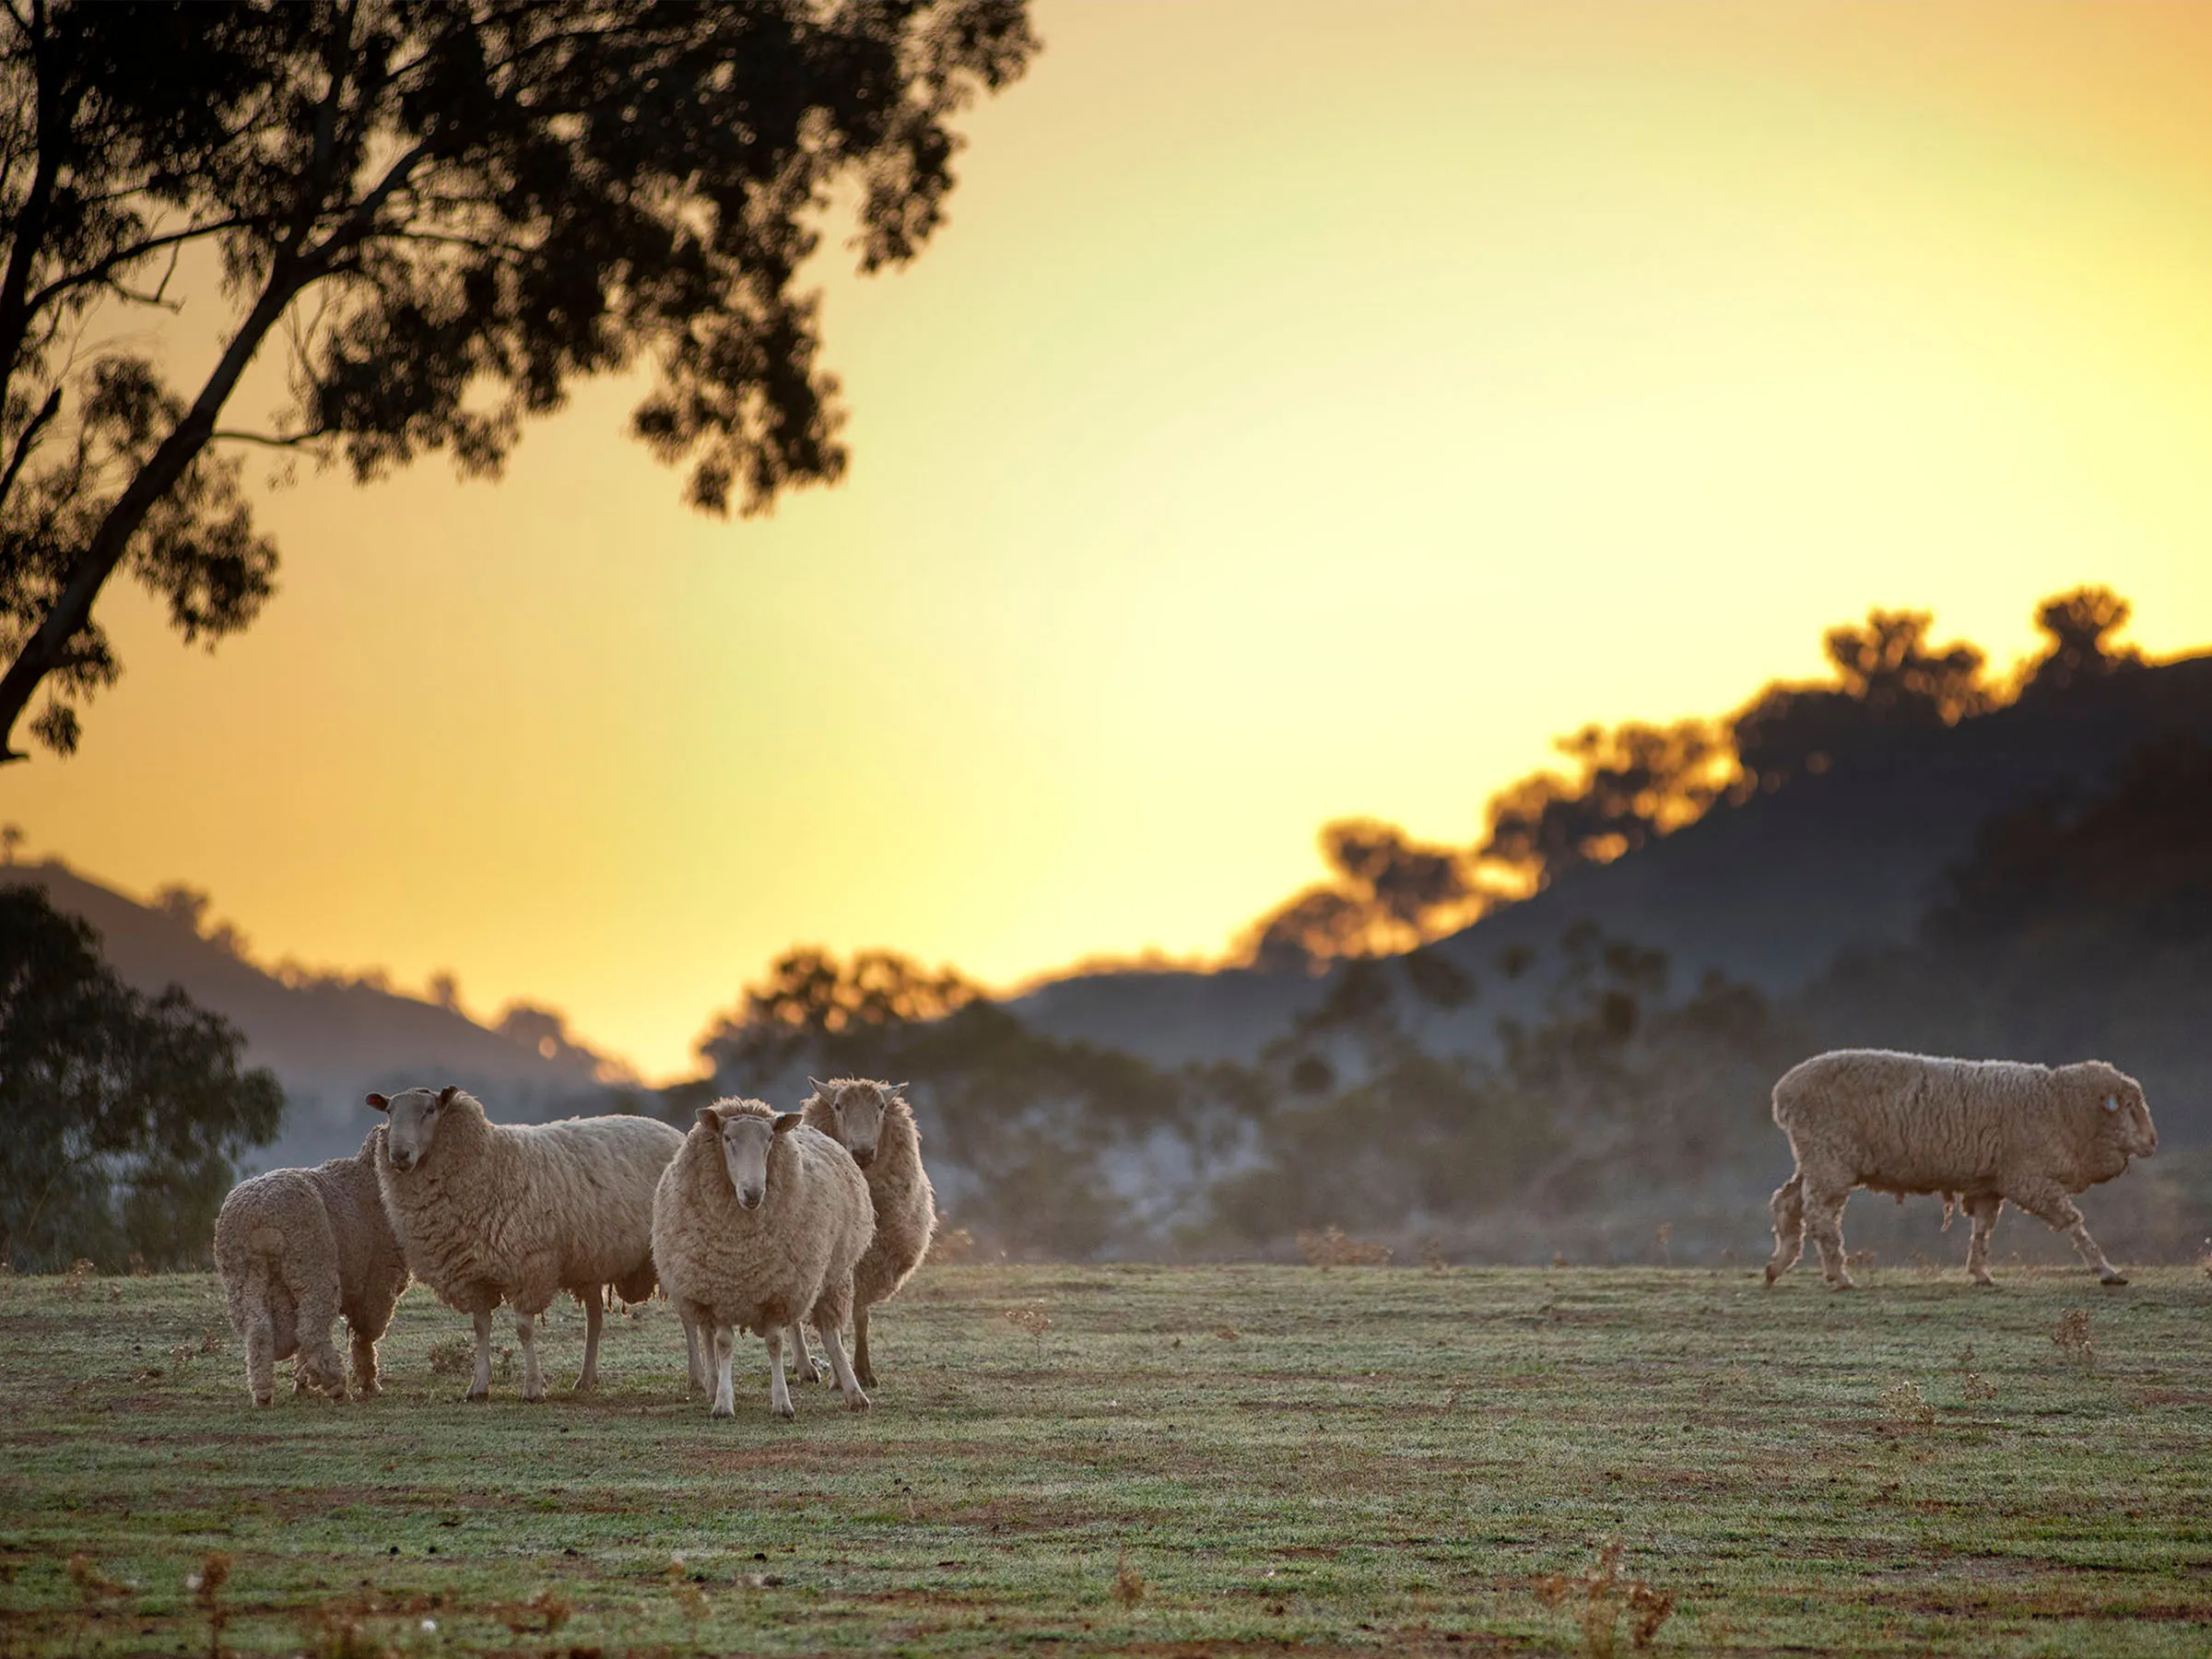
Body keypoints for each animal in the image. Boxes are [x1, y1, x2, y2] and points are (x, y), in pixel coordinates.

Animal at [214, 1124, 411, 1406]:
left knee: (259, 1329)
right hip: (312, 1267)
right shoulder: (380, 1281)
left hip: (243, 1274)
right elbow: (364, 1337)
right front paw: (368, 1384)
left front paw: (303, 1381)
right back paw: (337, 1387)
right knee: (311, 1330)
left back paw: (263, 1395)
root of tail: (261, 1217)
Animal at [371, 1092, 681, 1406]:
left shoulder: (528, 1268)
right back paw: (585, 1379)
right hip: (590, 1262)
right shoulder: (472, 1274)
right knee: (594, 1318)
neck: (491, 1161)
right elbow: (480, 1327)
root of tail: (667, 1129)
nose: (399, 1155)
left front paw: (533, 1388)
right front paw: (478, 1386)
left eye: (430, 1110)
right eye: (389, 1112)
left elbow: (524, 1329)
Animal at [645, 1097, 871, 1424]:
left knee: (831, 1334)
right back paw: (712, 1384)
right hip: (700, 1286)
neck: (743, 1251)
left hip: (827, 1277)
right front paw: (723, 1403)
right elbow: (723, 1344)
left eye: (769, 1139)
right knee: (706, 1335)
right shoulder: (720, 1289)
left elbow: (776, 1342)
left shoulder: (779, 1292)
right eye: (727, 1138)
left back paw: (852, 1392)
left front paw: (782, 1402)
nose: (753, 1193)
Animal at [792, 1079, 937, 1389]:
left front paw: (864, 1370)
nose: (862, 1152)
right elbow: (835, 1324)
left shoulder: (869, 1266)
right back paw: (805, 1366)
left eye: (881, 1107)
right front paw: (839, 1375)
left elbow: (861, 1319)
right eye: (837, 1107)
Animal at [1760, 1053, 2159, 1300]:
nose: (2153, 1142)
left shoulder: (1990, 1184)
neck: (2059, 1105)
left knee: (1787, 1202)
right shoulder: (2028, 1178)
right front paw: (2106, 1270)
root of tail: (1783, 1092)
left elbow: (1982, 1229)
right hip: (1829, 1157)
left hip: (1817, 1160)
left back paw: (1778, 1265)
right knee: (1819, 1215)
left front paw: (1981, 1273)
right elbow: (2074, 1223)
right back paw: (1839, 1275)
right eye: (2129, 1106)